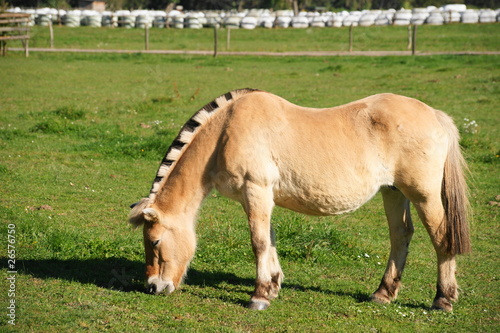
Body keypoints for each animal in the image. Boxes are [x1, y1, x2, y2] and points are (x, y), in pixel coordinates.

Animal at [128, 89, 468, 312]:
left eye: (155, 242)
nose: (153, 287)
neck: (226, 130)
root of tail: (435, 115)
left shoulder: (256, 191)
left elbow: (258, 242)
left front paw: (259, 296)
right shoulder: (259, 197)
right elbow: (270, 239)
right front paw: (273, 286)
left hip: (423, 195)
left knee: (441, 237)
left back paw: (443, 299)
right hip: (393, 192)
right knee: (400, 236)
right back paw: (383, 293)